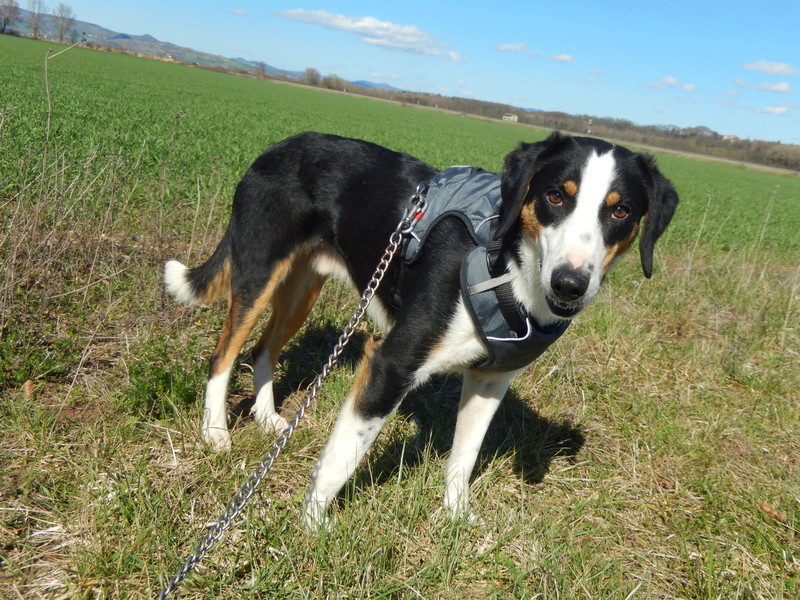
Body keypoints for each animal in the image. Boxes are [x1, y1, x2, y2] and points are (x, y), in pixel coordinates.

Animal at [166, 131, 680, 524]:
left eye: (620, 211)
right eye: (555, 195)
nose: (570, 283)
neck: (508, 267)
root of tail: (280, 145)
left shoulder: (490, 379)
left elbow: (464, 457)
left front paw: (456, 518)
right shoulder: (391, 364)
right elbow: (341, 459)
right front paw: (310, 528)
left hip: (302, 288)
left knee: (264, 350)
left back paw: (269, 417)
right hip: (260, 272)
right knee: (224, 353)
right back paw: (216, 432)